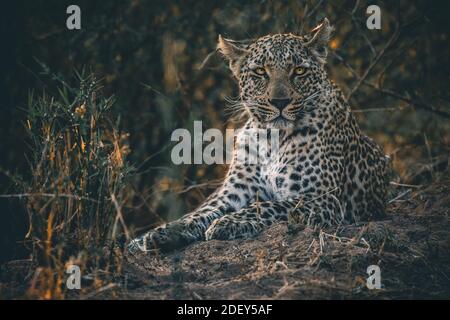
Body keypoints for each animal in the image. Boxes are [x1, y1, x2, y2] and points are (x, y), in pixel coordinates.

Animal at [127, 18, 390, 255]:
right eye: (260, 72)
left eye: (299, 71)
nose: (280, 102)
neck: (272, 138)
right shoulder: (234, 193)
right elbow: (198, 214)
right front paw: (160, 233)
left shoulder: (321, 198)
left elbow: (271, 206)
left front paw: (229, 222)